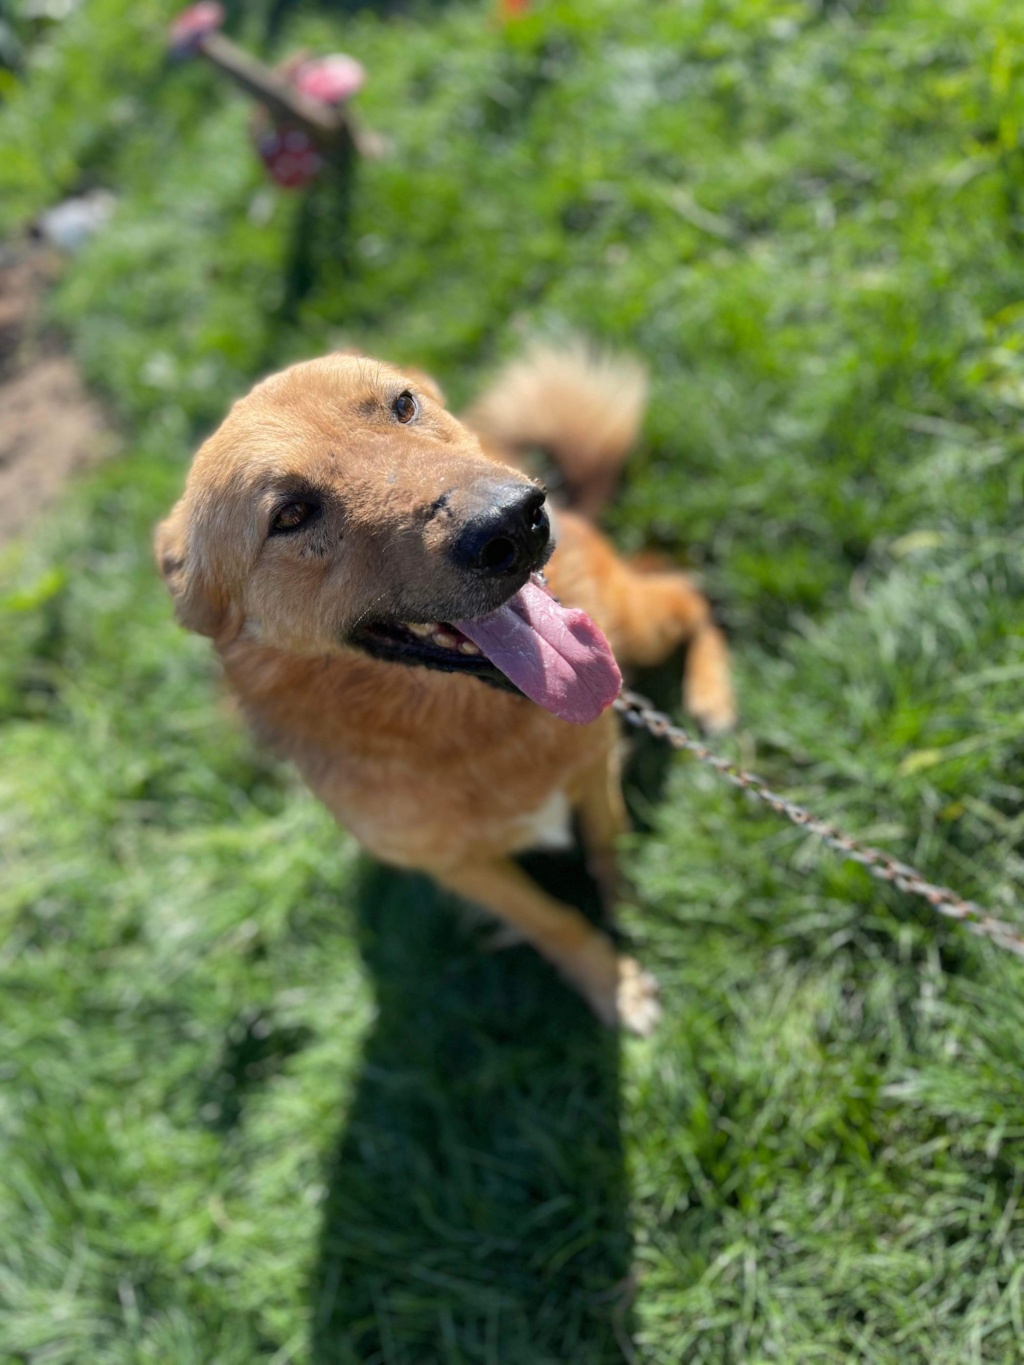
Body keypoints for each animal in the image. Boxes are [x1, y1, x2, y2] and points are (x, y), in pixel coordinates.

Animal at [156, 343, 737, 1031]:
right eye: (290, 515)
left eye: (404, 404)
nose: (514, 520)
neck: (474, 730)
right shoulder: (460, 867)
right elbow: (552, 920)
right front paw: (612, 982)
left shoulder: (594, 769)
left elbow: (607, 844)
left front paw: (630, 912)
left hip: (636, 624)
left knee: (689, 590)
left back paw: (712, 695)